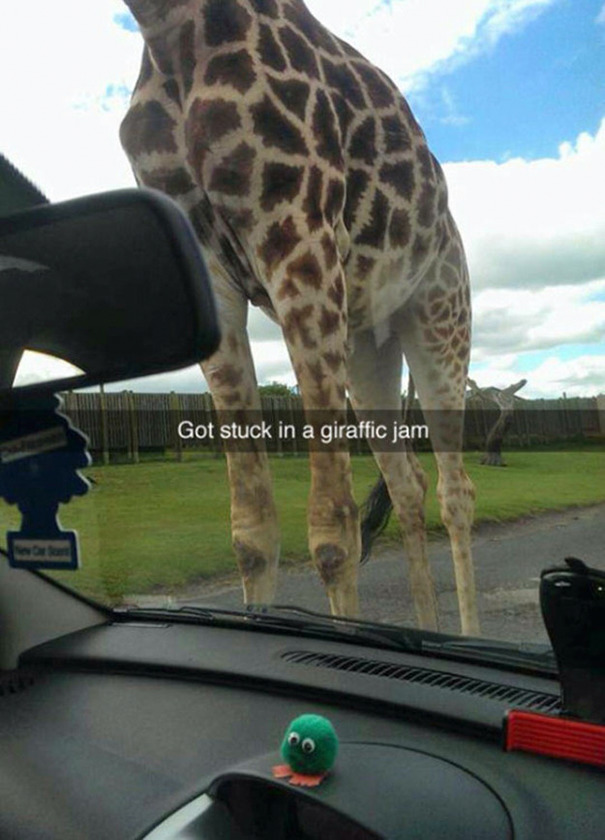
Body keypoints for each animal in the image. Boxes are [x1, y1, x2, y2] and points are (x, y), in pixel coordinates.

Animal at [119, 0, 479, 635]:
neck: (166, 29)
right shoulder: (211, 274)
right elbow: (251, 530)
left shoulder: (300, 238)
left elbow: (333, 531)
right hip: (367, 351)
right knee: (407, 482)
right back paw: (426, 630)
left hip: (441, 322)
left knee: (456, 490)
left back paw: (468, 639)